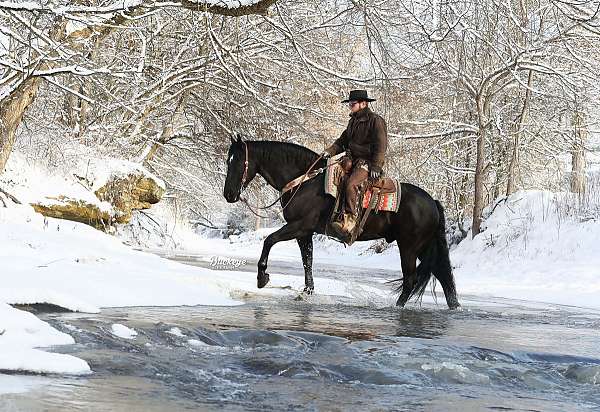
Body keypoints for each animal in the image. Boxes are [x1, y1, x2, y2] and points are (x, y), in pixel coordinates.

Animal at [224, 136, 460, 308]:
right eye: (228, 160)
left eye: (237, 161)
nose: (228, 194)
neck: (304, 181)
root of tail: (432, 201)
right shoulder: (304, 233)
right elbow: (307, 261)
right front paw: (307, 292)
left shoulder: (298, 226)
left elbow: (269, 241)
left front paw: (262, 277)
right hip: (423, 246)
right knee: (443, 275)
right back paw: (454, 306)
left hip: (409, 247)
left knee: (410, 280)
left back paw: (397, 306)